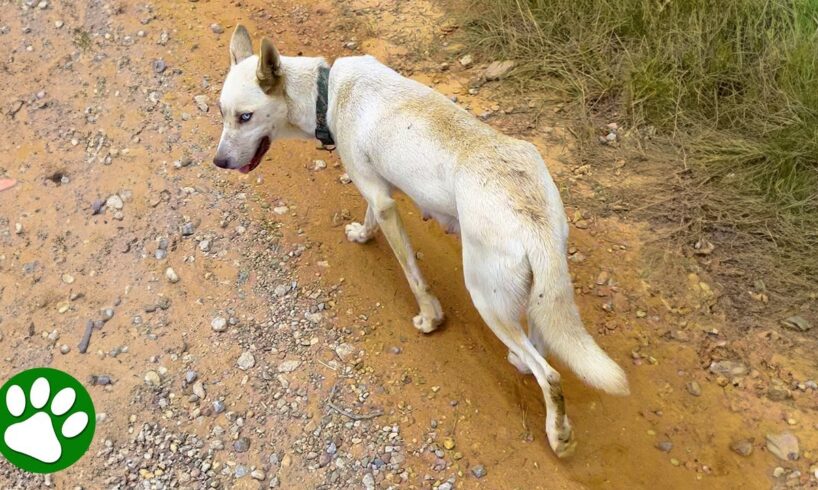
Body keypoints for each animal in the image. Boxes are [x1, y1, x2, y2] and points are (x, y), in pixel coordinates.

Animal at [214, 25, 628, 456]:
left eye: (245, 117)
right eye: (220, 113)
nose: (219, 162)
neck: (323, 94)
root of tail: (533, 219)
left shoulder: (383, 202)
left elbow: (413, 274)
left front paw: (430, 317)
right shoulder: (378, 192)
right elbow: (369, 219)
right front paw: (362, 235)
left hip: (486, 298)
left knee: (549, 374)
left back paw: (557, 433)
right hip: (536, 288)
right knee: (541, 342)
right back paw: (522, 364)